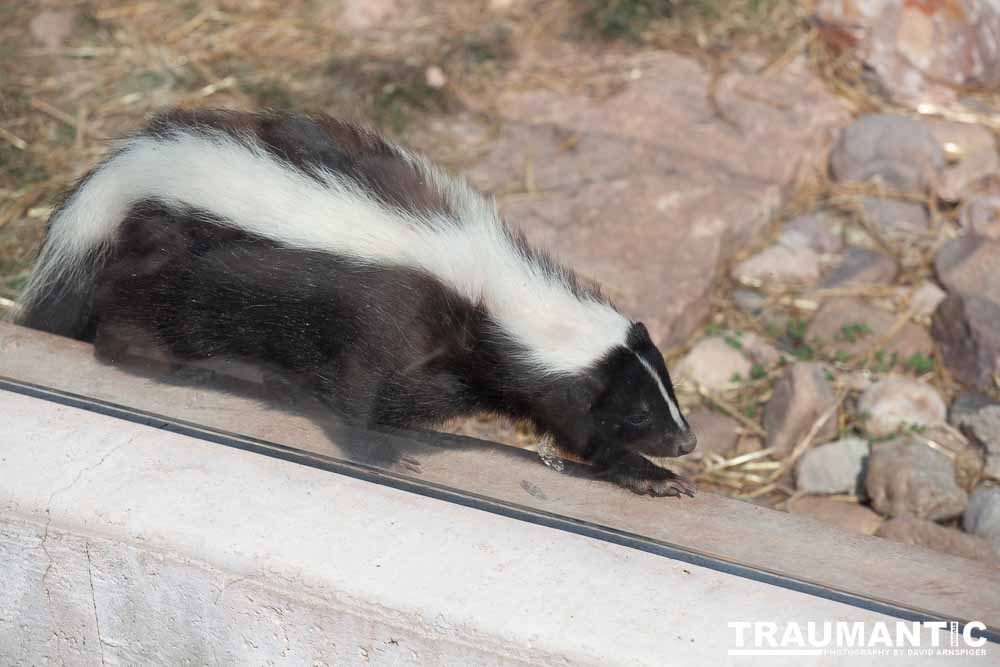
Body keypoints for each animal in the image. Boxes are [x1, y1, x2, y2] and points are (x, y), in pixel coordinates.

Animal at [13, 108, 696, 496]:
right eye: (640, 412)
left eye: (668, 394)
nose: (686, 443)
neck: (490, 288)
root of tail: (138, 170)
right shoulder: (388, 313)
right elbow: (355, 388)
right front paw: (382, 454)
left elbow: (573, 430)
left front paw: (649, 478)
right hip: (177, 265)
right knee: (134, 316)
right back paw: (160, 360)